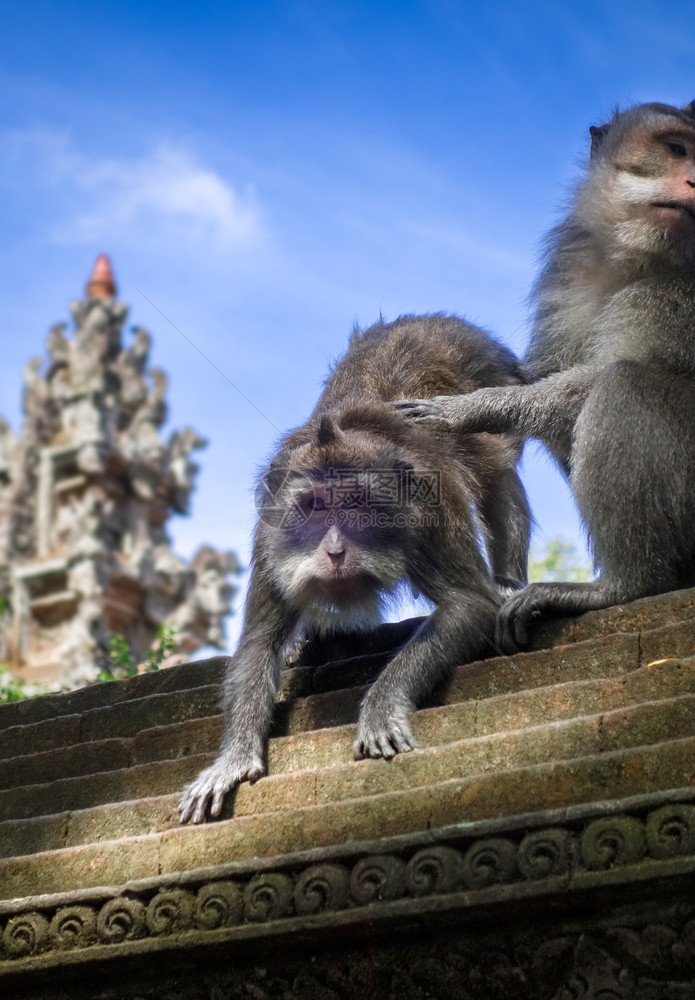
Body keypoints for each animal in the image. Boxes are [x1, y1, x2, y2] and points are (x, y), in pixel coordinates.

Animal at [177, 316, 532, 824]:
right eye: (313, 507)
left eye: (357, 504)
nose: (335, 549)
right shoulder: (270, 537)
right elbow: (260, 640)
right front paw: (234, 758)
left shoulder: (430, 511)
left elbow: (467, 603)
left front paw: (381, 707)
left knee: (495, 471)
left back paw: (508, 580)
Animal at [394, 99, 695, 648]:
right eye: (676, 149)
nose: (693, 181)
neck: (641, 259)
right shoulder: (569, 269)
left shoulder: (676, 298)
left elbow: (588, 383)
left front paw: (468, 410)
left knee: (625, 385)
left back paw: (628, 585)